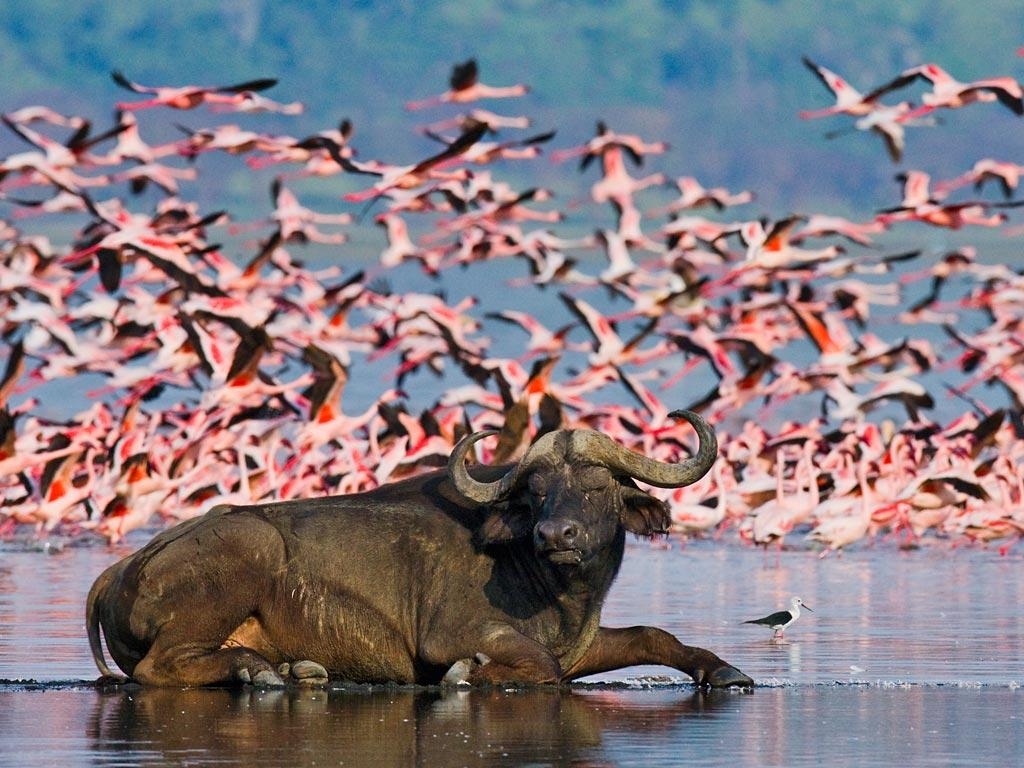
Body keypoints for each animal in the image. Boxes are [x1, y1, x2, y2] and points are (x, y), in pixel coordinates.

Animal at [88, 411, 753, 688]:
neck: (559, 592)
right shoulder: (452, 635)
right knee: (157, 669)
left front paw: (724, 670)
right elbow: (537, 666)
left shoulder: (583, 644)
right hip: (244, 552)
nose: (555, 536)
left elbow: (651, 636)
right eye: (537, 491)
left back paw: (292, 670)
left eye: (597, 487)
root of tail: (119, 569)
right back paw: (259, 673)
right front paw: (469, 676)